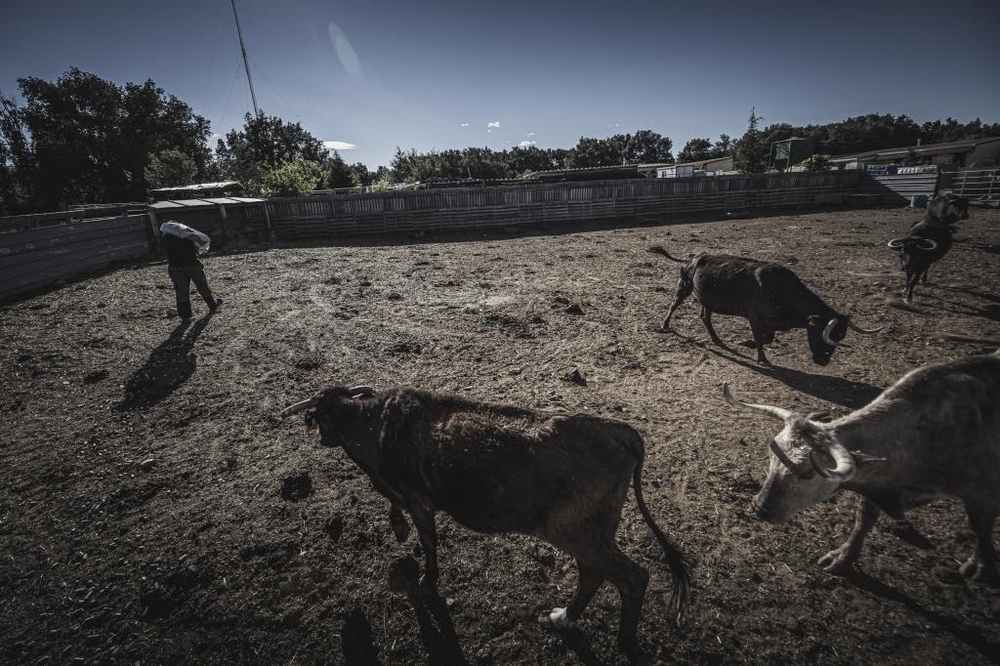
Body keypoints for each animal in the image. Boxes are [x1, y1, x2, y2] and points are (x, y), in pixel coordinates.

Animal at [280, 384, 688, 660]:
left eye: (318, 418)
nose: (323, 438)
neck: (373, 427)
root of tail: (619, 431)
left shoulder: (419, 502)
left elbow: (428, 544)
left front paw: (424, 579)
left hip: (576, 532)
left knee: (631, 577)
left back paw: (623, 640)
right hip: (594, 532)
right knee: (593, 574)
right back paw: (564, 618)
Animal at [648, 246, 876, 366]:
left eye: (841, 336)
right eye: (823, 334)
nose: (822, 361)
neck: (783, 290)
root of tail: (693, 256)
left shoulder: (772, 324)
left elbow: (766, 338)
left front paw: (747, 344)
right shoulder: (755, 318)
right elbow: (760, 339)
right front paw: (761, 358)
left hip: (707, 299)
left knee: (705, 317)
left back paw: (716, 339)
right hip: (684, 287)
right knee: (674, 305)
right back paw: (665, 325)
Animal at [724, 350, 1000, 584]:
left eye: (808, 473)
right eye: (772, 458)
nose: (760, 509)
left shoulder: (982, 495)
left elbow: (980, 528)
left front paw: (982, 567)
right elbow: (863, 519)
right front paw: (843, 558)